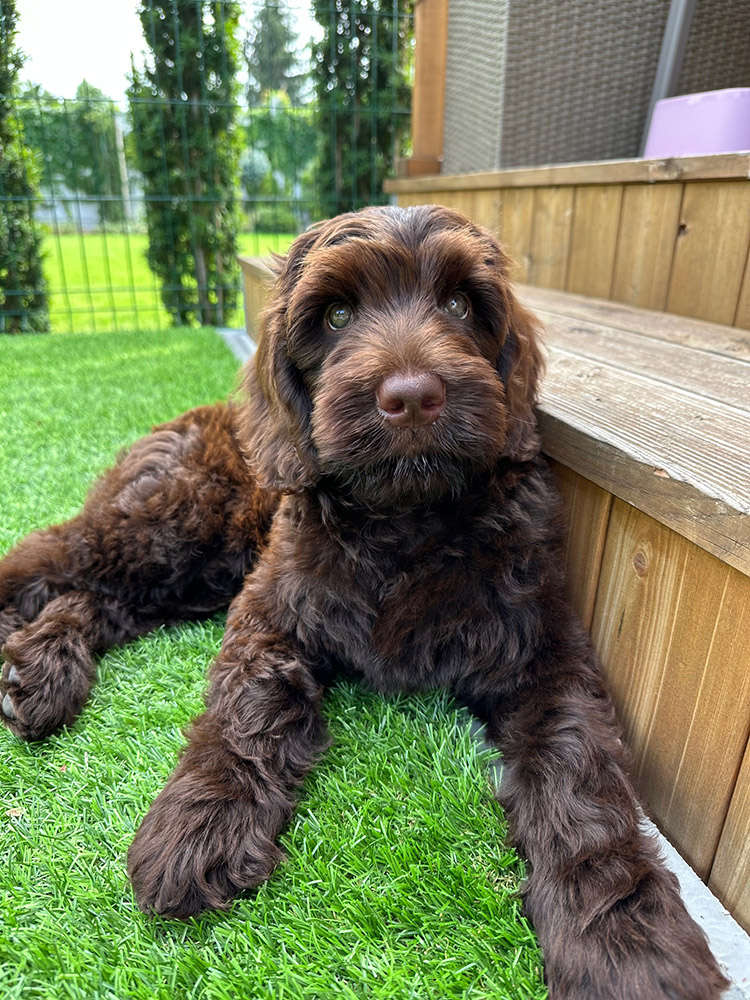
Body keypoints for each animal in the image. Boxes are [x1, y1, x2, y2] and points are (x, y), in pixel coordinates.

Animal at [0, 207, 728, 996]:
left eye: (460, 304)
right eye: (337, 315)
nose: (411, 397)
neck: (405, 521)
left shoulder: (541, 642)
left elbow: (576, 763)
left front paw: (623, 930)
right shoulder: (271, 606)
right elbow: (249, 704)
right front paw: (200, 822)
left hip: (198, 572)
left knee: (97, 601)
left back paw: (37, 675)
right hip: (176, 524)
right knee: (53, 558)